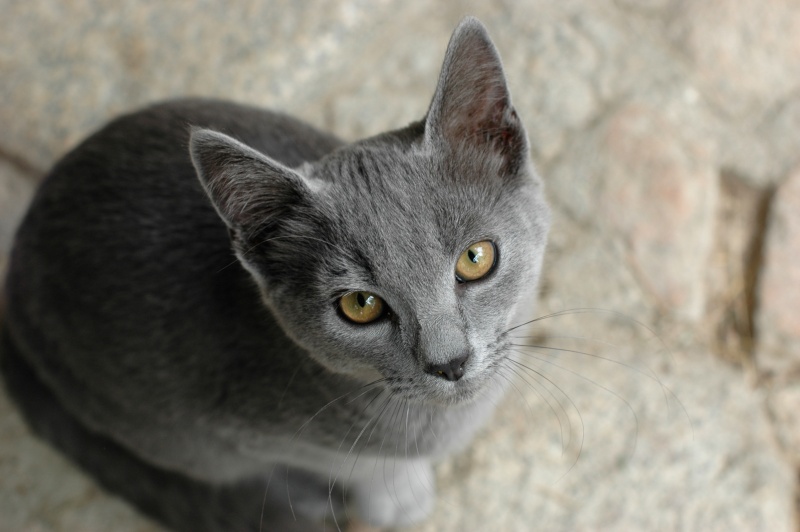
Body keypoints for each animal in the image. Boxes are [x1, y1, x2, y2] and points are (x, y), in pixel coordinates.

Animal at [0, 16, 552, 532]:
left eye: (475, 258)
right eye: (360, 305)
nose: (450, 362)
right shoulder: (245, 435)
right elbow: (355, 465)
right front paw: (397, 496)